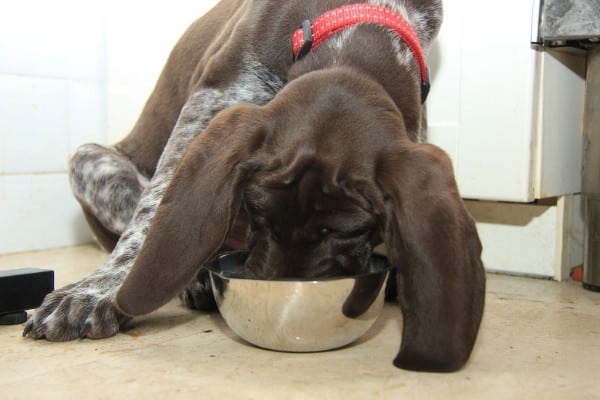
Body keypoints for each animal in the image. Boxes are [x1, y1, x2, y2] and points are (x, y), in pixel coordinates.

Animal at [23, 0, 486, 372]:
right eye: (256, 209)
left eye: (353, 230)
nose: (281, 294)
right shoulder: (213, 101)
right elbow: (152, 211)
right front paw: (98, 293)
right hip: (89, 158)